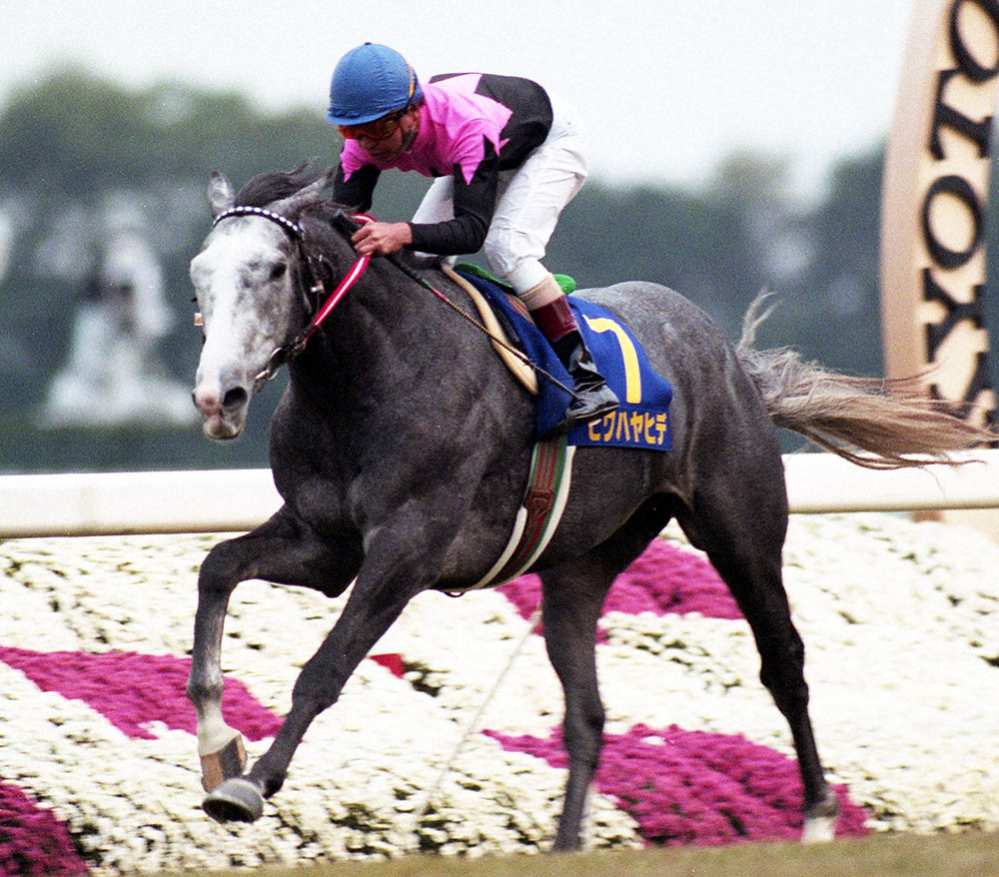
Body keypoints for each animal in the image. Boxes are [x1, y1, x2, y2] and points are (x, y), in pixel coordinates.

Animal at [186, 162, 991, 851]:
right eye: (199, 279)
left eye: (273, 268)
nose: (217, 396)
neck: (369, 375)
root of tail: (730, 360)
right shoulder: (324, 541)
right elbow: (217, 569)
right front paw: (219, 745)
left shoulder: (408, 547)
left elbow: (324, 668)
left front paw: (252, 783)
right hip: (580, 568)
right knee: (588, 714)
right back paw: (568, 844)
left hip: (741, 532)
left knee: (783, 663)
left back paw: (819, 817)